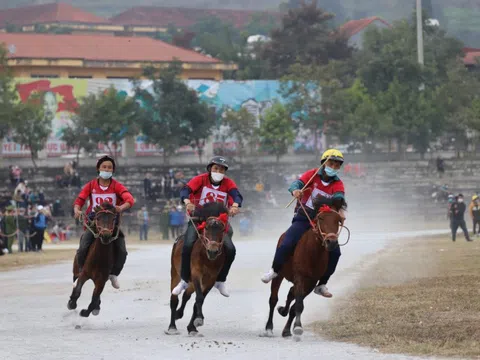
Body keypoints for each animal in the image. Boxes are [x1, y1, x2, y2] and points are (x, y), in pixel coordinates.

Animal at [167, 202, 229, 338]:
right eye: (206, 228)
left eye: (222, 229)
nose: (213, 251)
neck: (207, 257)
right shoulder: (196, 273)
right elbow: (199, 298)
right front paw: (199, 319)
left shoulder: (210, 279)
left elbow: (199, 300)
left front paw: (193, 327)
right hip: (175, 273)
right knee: (174, 299)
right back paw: (172, 326)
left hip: (192, 283)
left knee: (186, 295)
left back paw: (180, 315)